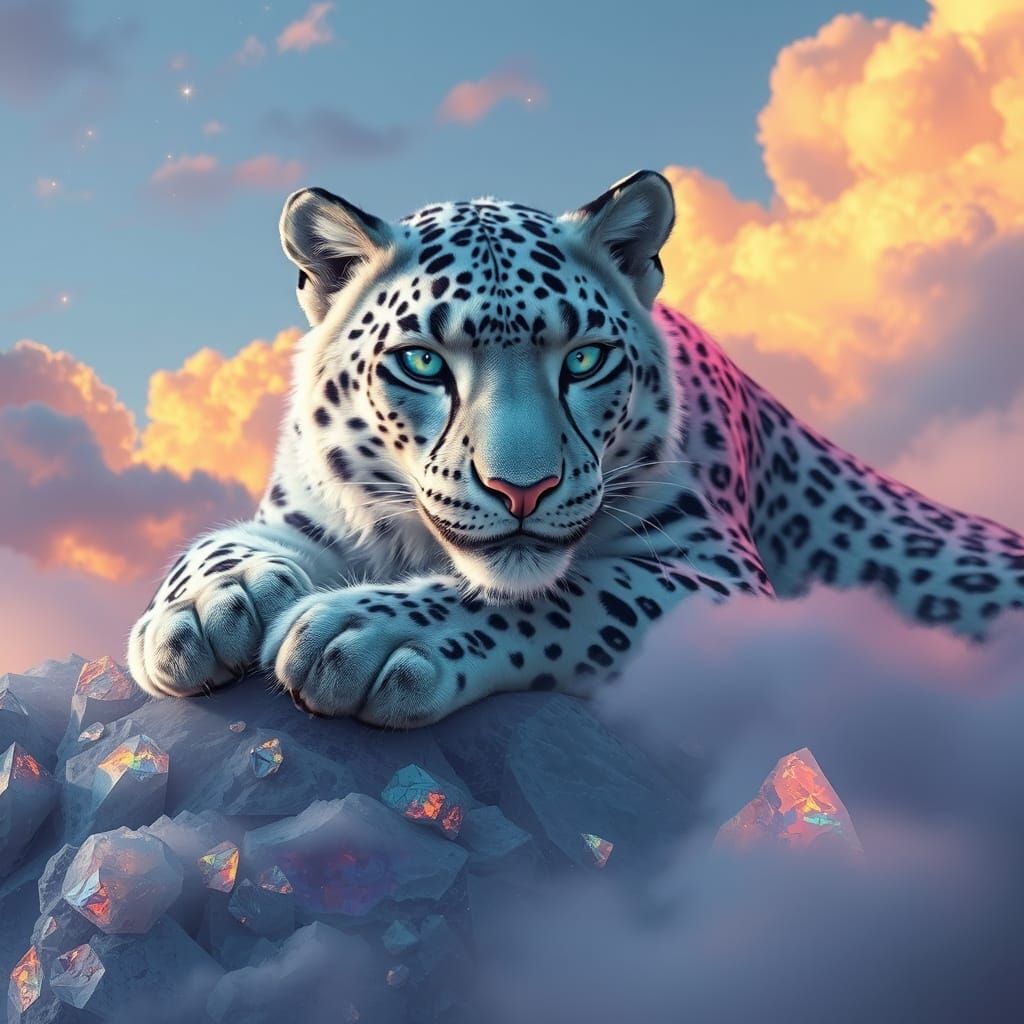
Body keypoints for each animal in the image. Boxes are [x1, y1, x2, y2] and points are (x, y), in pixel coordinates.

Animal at [127, 170, 1024, 726]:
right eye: (423, 363)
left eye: (585, 360)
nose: (522, 490)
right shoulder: (301, 515)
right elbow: (215, 543)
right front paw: (200, 614)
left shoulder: (723, 579)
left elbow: (574, 593)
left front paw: (367, 638)